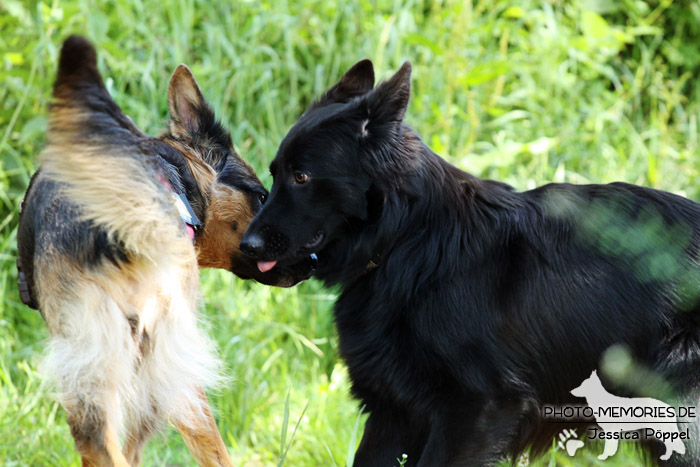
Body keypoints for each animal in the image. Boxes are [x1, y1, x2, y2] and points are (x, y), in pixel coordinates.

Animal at [241, 60, 700, 466]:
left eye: (301, 177)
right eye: (275, 173)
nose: (246, 245)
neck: (407, 241)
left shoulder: (478, 410)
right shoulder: (393, 412)